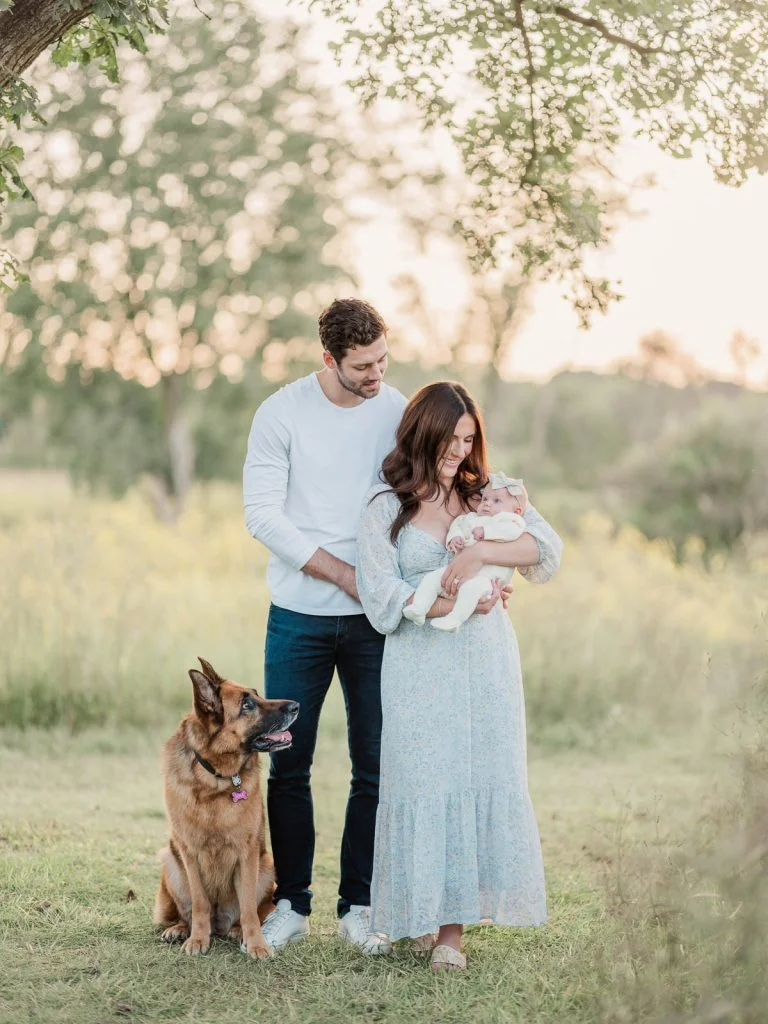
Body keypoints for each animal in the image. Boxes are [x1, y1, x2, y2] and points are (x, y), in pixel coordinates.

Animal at [154, 659, 299, 954]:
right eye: (247, 705)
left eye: (257, 694)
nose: (297, 705)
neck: (217, 779)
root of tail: (219, 924)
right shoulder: (190, 853)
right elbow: (199, 903)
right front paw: (198, 939)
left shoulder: (247, 853)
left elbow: (249, 908)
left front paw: (256, 944)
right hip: (170, 863)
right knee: (186, 913)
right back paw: (180, 929)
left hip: (266, 866)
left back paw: (236, 930)